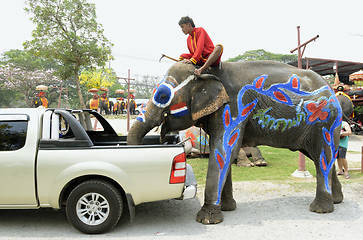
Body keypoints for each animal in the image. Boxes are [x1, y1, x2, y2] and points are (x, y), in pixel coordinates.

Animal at [128, 61, 344, 224]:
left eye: (163, 96)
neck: (206, 71)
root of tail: (331, 90)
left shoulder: (233, 108)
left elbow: (224, 150)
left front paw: (207, 219)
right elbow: (223, 151)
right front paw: (227, 208)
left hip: (325, 121)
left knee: (322, 156)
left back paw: (320, 210)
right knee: (324, 157)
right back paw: (337, 200)